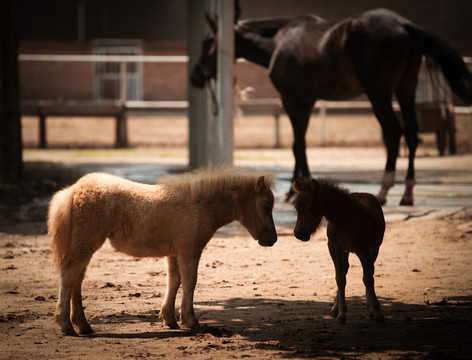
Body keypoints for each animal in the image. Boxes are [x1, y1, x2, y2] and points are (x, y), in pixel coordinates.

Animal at [48, 168, 276, 334]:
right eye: (266, 206)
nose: (272, 239)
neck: (199, 205)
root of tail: (74, 190)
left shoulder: (174, 253)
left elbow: (173, 281)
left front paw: (170, 319)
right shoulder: (189, 251)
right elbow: (190, 282)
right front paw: (191, 321)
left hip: (84, 244)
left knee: (77, 277)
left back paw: (83, 325)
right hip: (86, 242)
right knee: (69, 274)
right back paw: (66, 325)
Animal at [191, 8, 472, 204]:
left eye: (206, 43)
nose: (195, 77)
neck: (280, 40)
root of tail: (404, 24)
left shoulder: (293, 99)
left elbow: (297, 144)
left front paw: (295, 191)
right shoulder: (307, 101)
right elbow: (300, 143)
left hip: (380, 94)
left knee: (393, 132)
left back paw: (384, 190)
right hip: (406, 89)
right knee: (412, 133)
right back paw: (407, 193)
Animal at [294, 179, 386, 322]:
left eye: (312, 208)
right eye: (296, 208)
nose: (298, 233)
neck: (344, 219)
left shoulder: (364, 250)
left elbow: (368, 279)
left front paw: (377, 312)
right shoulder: (334, 248)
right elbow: (340, 279)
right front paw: (342, 314)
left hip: (375, 248)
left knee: (370, 271)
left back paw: (369, 309)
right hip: (345, 252)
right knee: (345, 270)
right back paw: (335, 309)